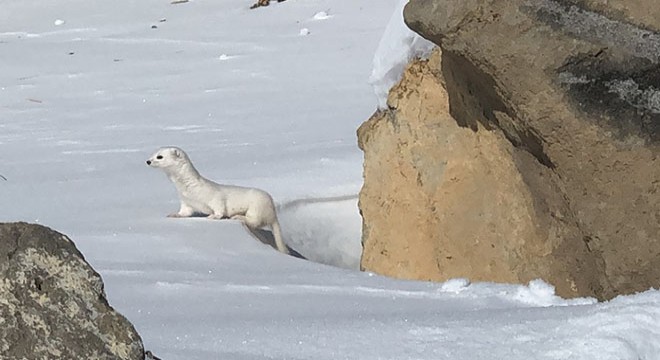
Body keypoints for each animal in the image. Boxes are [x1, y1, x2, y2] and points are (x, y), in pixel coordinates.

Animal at [147, 146, 286, 253]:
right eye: (152, 154)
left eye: (160, 156)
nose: (147, 161)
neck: (188, 190)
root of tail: (273, 210)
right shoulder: (186, 202)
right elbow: (185, 212)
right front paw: (174, 214)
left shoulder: (215, 196)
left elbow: (220, 208)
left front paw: (212, 216)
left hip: (257, 206)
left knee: (255, 221)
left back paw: (237, 216)